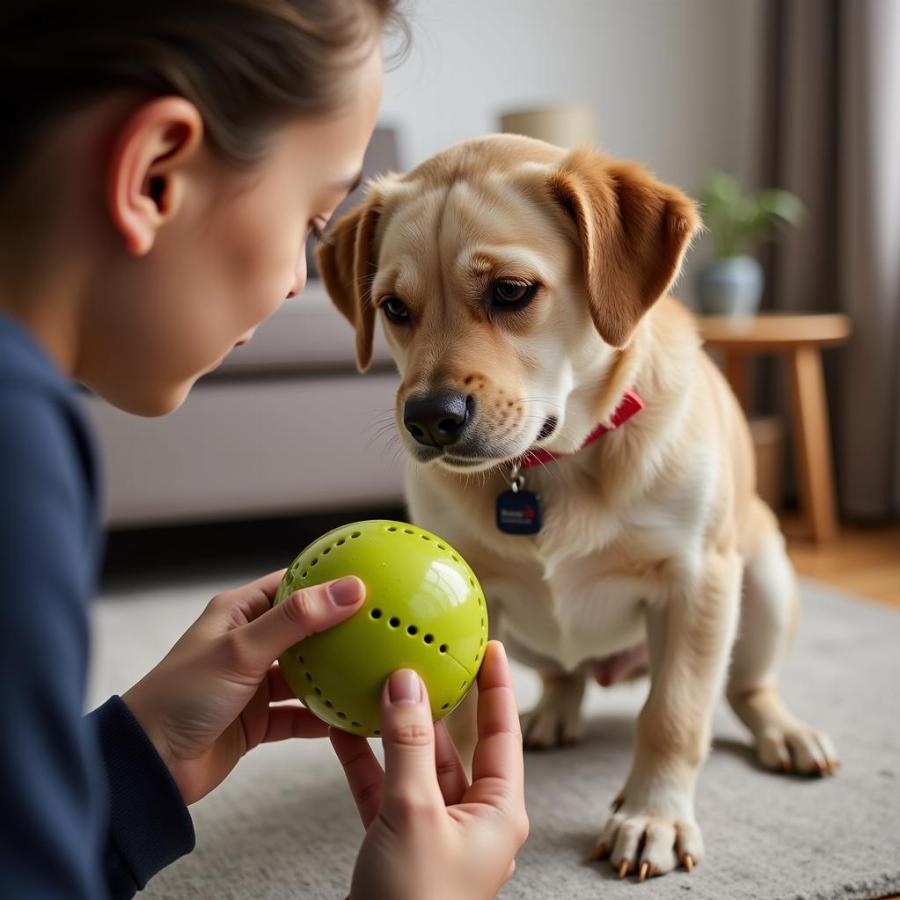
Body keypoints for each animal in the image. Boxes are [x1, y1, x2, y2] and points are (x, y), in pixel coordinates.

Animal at [316, 134, 836, 880]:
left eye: (511, 291)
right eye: (393, 308)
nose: (430, 419)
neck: (551, 466)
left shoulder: (699, 581)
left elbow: (674, 715)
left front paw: (652, 816)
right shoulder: (475, 588)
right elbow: (465, 717)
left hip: (762, 578)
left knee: (745, 689)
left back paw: (786, 733)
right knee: (565, 676)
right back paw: (550, 715)